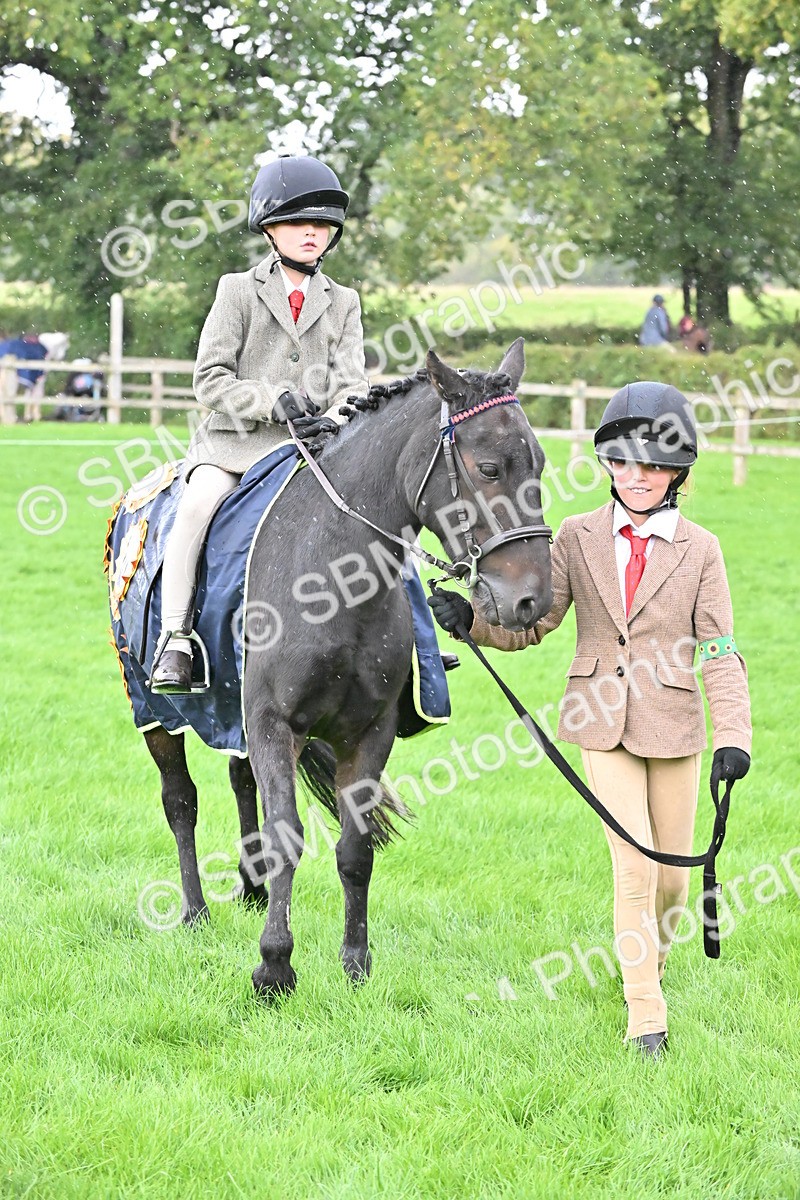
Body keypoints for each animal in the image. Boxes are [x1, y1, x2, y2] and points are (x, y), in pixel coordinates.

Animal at [137, 339, 553, 999]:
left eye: (537, 462)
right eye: (489, 468)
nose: (532, 600)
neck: (334, 571)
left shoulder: (367, 730)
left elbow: (355, 849)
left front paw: (356, 963)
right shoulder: (275, 723)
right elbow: (287, 836)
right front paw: (274, 966)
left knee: (239, 780)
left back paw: (252, 889)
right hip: (154, 711)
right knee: (181, 799)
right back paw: (195, 910)